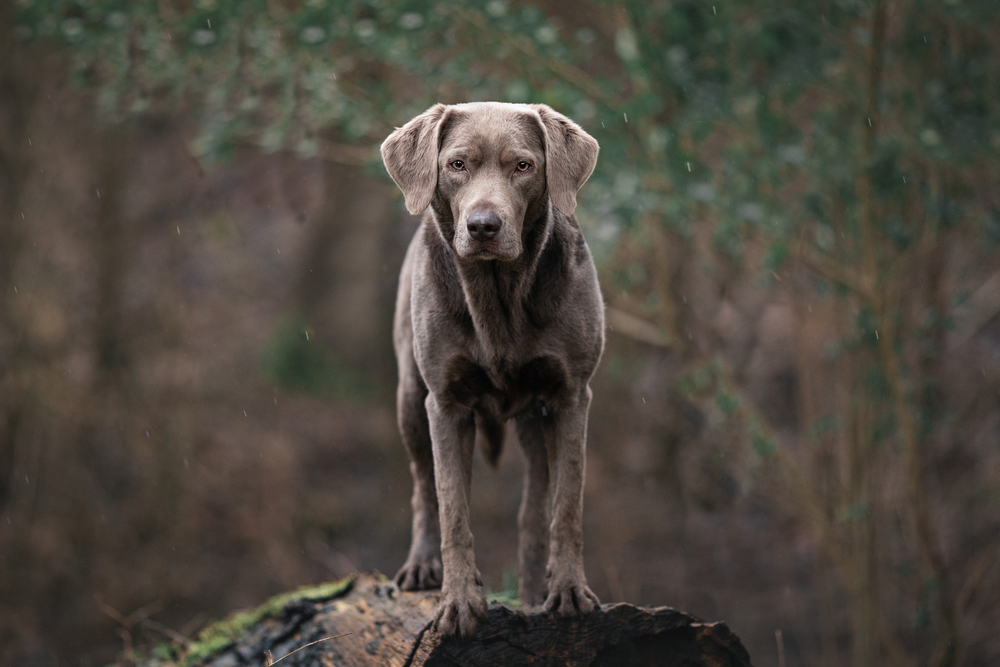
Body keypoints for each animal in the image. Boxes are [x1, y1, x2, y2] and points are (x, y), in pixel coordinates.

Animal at [380, 100, 600, 636]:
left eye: (523, 166)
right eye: (457, 164)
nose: (483, 226)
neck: (498, 295)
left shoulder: (570, 396)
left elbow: (567, 506)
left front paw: (569, 592)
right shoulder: (446, 403)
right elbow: (452, 509)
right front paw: (458, 603)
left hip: (535, 420)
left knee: (534, 507)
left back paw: (534, 593)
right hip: (409, 397)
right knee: (422, 486)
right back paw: (421, 567)